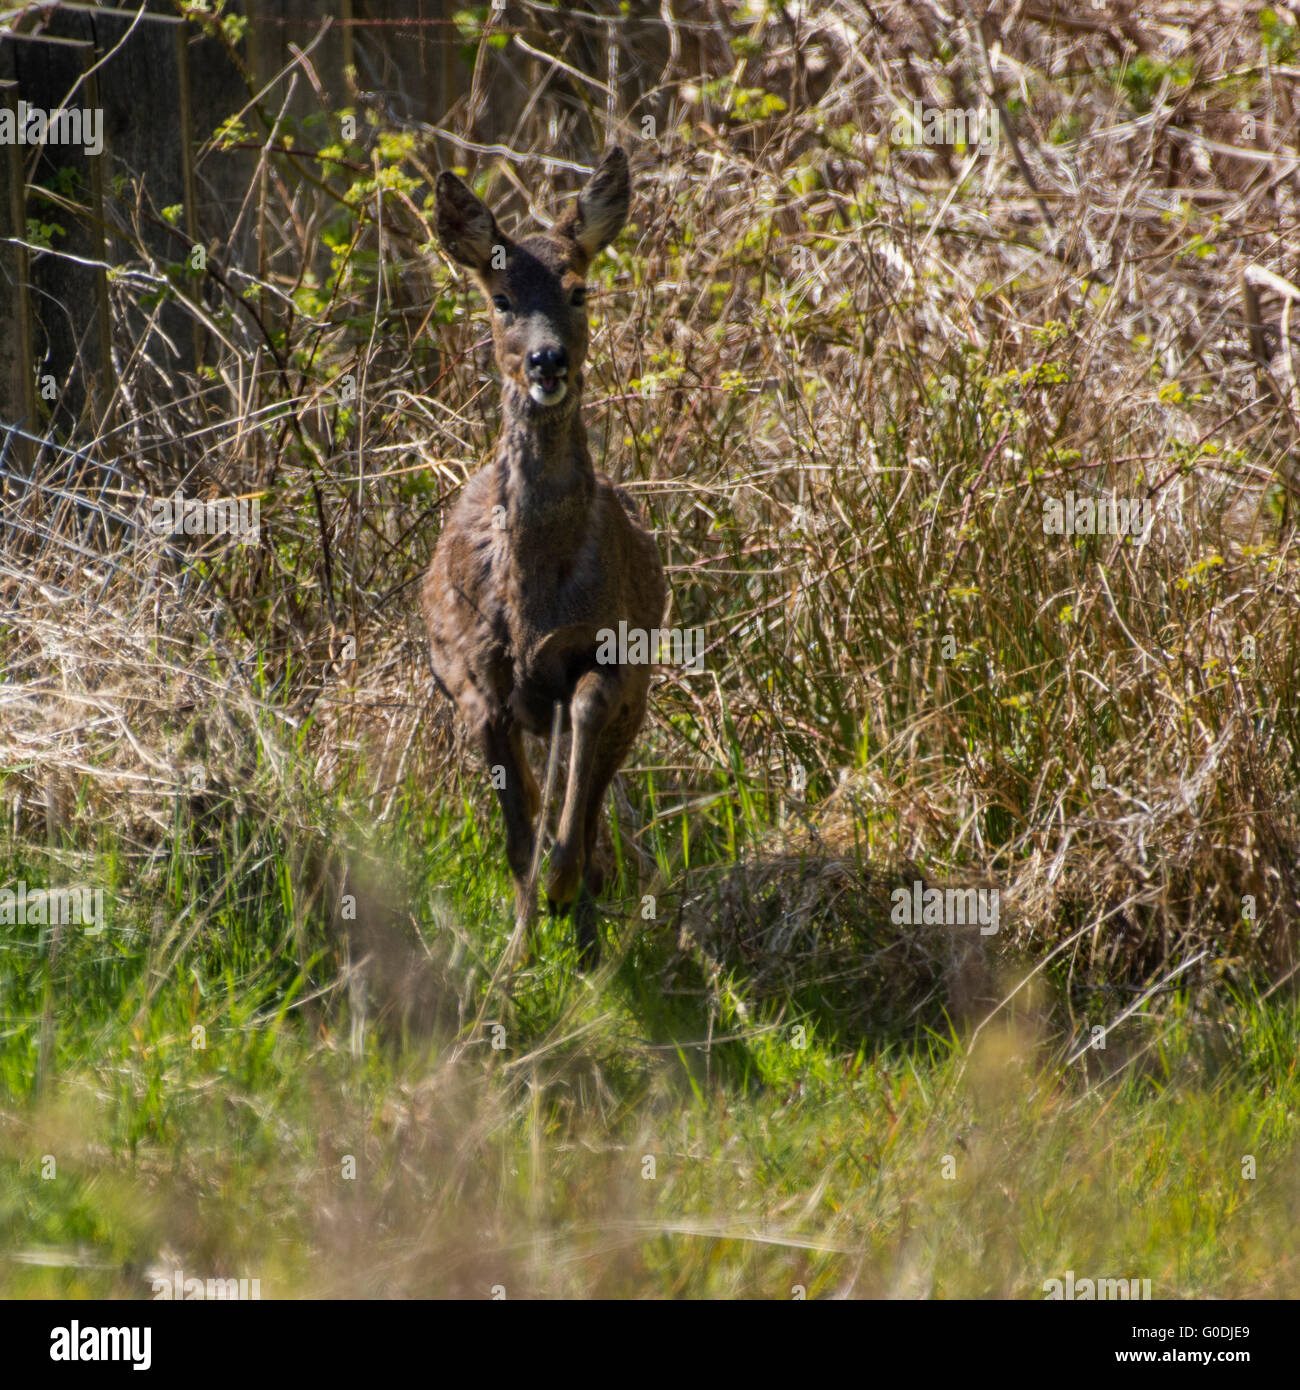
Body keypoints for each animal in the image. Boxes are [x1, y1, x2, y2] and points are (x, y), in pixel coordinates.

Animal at [422, 148, 666, 968]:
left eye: (578, 288)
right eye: (500, 299)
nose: (546, 359)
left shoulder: (613, 653)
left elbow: (585, 727)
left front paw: (564, 887)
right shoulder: (473, 678)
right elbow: (514, 834)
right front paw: (515, 954)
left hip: (639, 696)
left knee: (586, 802)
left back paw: (584, 921)